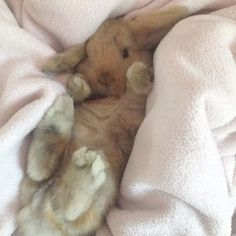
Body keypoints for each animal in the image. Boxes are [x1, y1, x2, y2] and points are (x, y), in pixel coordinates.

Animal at [16, 5, 190, 236]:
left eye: (125, 52)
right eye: (87, 55)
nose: (104, 77)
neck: (112, 97)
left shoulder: (134, 112)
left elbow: (137, 92)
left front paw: (138, 71)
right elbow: (84, 95)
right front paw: (77, 84)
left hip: (105, 189)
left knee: (60, 199)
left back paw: (79, 154)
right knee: (48, 182)